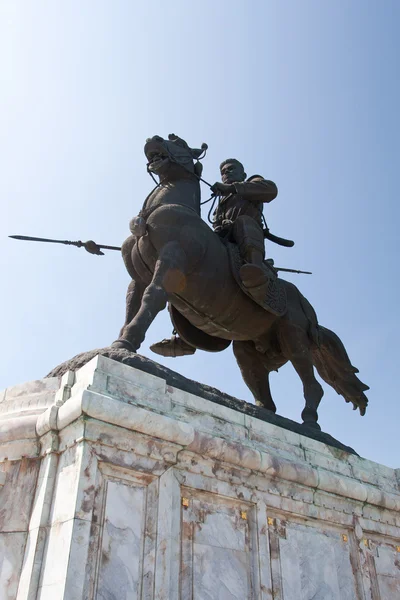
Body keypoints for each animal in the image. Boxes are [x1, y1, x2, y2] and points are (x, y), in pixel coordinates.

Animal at [112, 134, 368, 428]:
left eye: (179, 142)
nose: (152, 139)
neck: (160, 210)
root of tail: (305, 304)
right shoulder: (138, 278)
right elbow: (131, 307)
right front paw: (123, 341)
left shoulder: (171, 262)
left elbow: (152, 298)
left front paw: (126, 343)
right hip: (248, 350)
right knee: (263, 392)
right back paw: (263, 413)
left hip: (293, 338)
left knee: (312, 384)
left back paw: (310, 422)